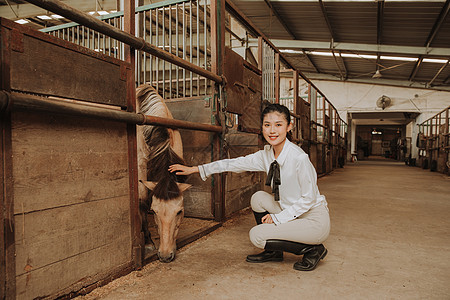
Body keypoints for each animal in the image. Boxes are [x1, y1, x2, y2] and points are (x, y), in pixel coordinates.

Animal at [136, 84, 191, 262]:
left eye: (179, 212)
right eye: (154, 211)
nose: (165, 255)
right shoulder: (140, 166)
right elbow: (143, 200)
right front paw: (147, 242)